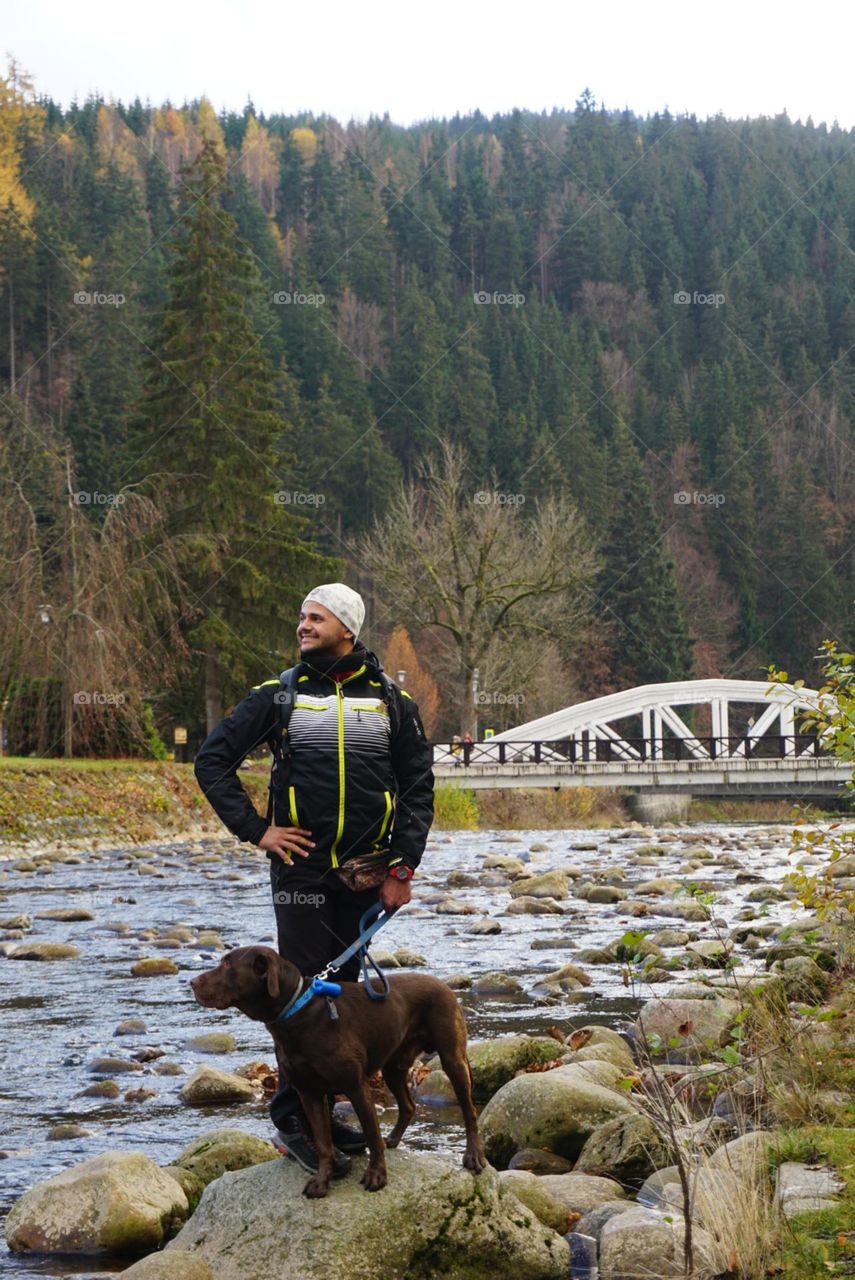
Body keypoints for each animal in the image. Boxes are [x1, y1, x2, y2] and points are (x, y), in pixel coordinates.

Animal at [191, 947, 486, 1192]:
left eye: (227, 964)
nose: (191, 983)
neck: (297, 1014)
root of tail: (443, 984)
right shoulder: (308, 1093)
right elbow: (323, 1144)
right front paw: (322, 1181)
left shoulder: (356, 1087)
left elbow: (371, 1134)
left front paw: (377, 1175)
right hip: (393, 1067)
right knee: (409, 1106)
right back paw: (393, 1140)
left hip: (452, 1059)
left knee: (469, 1111)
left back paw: (473, 1156)